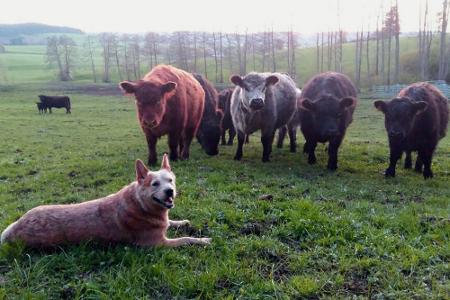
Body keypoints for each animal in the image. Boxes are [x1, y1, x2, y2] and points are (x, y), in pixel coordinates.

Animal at [0, 154, 212, 247]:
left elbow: (173, 222)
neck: (141, 206)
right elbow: (185, 239)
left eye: (170, 180)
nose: (170, 192)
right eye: (155, 184)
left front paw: (182, 221)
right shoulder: (158, 244)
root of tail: (15, 227)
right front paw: (202, 240)